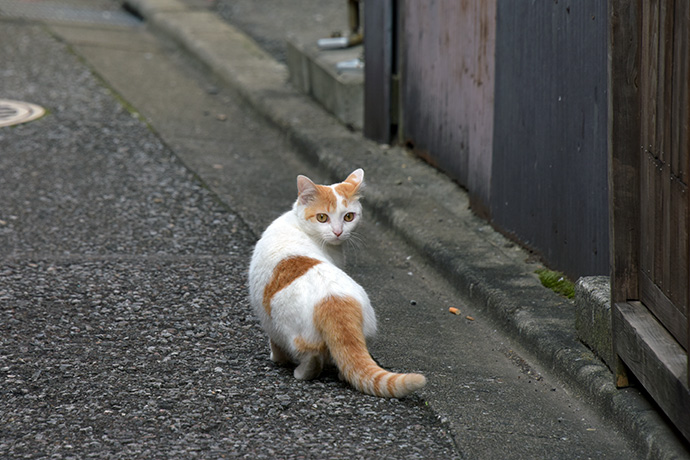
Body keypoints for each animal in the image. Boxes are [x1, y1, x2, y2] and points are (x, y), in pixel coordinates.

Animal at [245, 167, 422, 398]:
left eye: (348, 216)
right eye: (322, 217)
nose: (338, 232)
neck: (298, 224)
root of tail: (334, 300)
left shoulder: (268, 322)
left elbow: (274, 345)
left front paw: (276, 358)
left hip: (288, 330)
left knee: (311, 358)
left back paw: (301, 372)